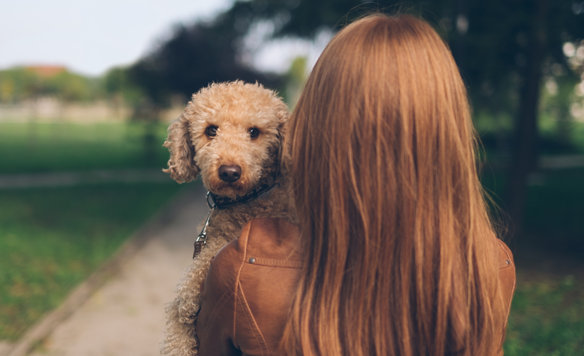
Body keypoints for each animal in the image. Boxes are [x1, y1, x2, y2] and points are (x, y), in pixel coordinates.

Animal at [161, 81, 294, 356]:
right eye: (211, 130)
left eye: (254, 132)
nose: (230, 172)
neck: (248, 198)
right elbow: (174, 332)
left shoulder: (227, 243)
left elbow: (211, 253)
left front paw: (188, 294)